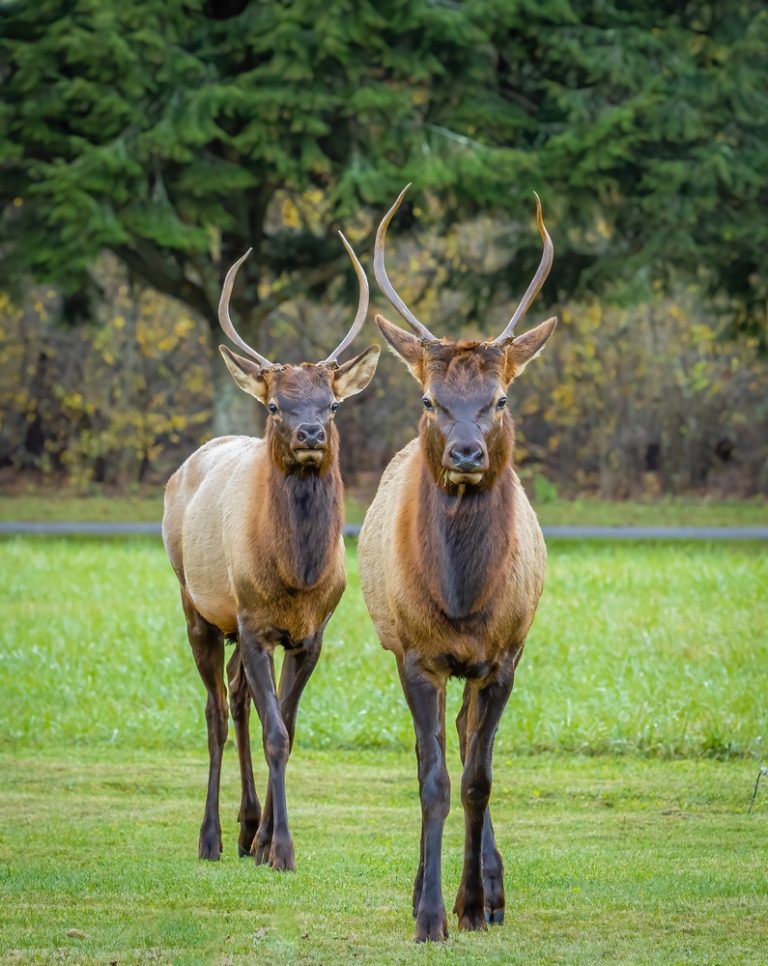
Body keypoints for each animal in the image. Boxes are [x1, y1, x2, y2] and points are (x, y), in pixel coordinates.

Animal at [162, 235, 380, 870]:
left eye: (331, 404)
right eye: (276, 406)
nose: (310, 435)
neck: (297, 577)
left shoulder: (310, 633)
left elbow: (287, 723)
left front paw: (265, 841)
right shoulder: (255, 624)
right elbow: (275, 731)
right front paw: (280, 849)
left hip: (232, 624)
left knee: (237, 699)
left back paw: (244, 828)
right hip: (197, 605)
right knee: (215, 713)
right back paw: (211, 837)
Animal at [358, 185, 556, 941]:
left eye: (498, 398)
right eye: (430, 398)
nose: (466, 453)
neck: (464, 597)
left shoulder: (501, 657)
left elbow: (478, 778)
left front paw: (474, 904)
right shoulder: (417, 655)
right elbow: (434, 779)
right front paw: (429, 913)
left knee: (472, 743)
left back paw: (494, 891)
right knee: (438, 750)